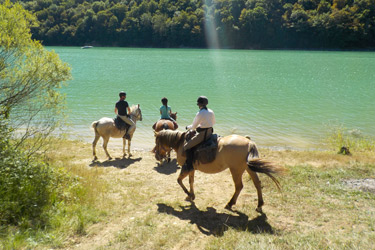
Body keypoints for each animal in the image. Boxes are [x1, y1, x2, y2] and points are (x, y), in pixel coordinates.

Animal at [153, 130, 284, 212]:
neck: (181, 144)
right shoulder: (191, 169)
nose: (157, 157)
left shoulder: (186, 168)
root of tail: (249, 142)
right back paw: (259, 205)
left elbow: (179, 180)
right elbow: (191, 181)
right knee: (257, 183)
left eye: (157, 142)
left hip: (236, 170)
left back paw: (230, 203)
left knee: (239, 186)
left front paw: (188, 194)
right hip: (248, 168)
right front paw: (191, 196)